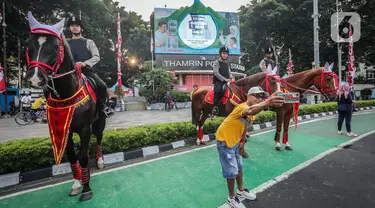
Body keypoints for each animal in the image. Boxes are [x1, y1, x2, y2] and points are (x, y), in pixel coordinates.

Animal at [24, 11, 106, 202]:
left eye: (55, 47)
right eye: (28, 45)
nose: (35, 79)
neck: (67, 93)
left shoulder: (84, 128)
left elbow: (82, 157)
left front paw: (86, 189)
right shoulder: (63, 129)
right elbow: (72, 156)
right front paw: (77, 183)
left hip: (100, 120)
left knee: (98, 138)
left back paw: (99, 160)